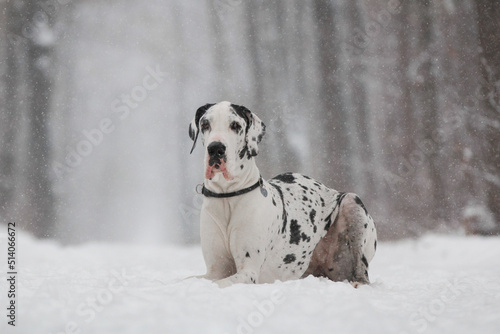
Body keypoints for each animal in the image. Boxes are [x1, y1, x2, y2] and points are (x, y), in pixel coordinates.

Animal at [189, 101, 376, 288]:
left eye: (235, 125)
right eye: (205, 124)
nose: (216, 148)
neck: (227, 195)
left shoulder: (248, 271)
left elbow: (218, 284)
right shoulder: (216, 270)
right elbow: (190, 279)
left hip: (352, 203)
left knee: (362, 273)